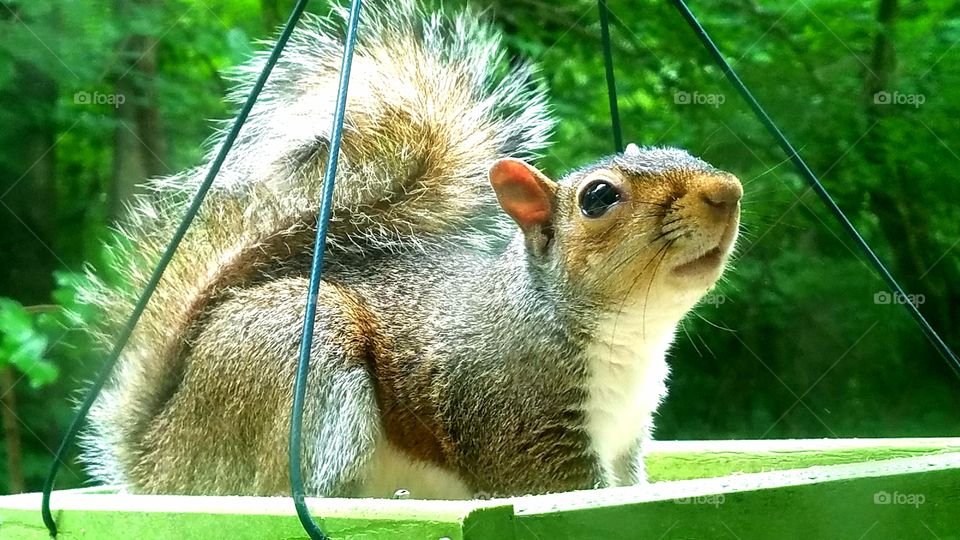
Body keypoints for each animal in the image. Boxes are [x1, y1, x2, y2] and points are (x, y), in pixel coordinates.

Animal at [79, 0, 742, 499]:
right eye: (599, 198)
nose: (728, 191)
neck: (631, 333)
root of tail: (162, 459)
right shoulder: (522, 428)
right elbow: (556, 489)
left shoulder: (627, 441)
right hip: (302, 355)